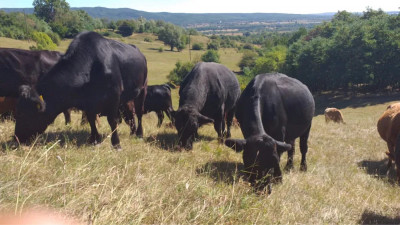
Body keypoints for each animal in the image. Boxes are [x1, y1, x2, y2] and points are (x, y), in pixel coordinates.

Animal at [14, 31, 149, 148]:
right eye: (17, 111)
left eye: (22, 113)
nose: (16, 137)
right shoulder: (88, 102)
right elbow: (91, 119)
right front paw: (94, 139)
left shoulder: (114, 96)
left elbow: (112, 120)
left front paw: (116, 144)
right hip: (127, 97)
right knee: (130, 113)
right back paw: (132, 132)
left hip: (143, 89)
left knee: (139, 112)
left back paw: (139, 134)